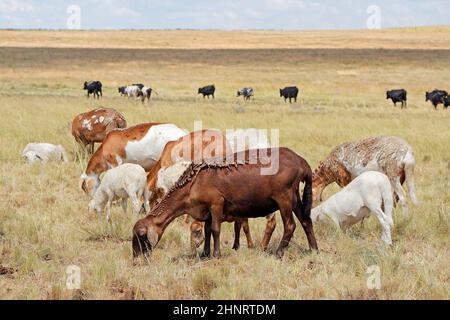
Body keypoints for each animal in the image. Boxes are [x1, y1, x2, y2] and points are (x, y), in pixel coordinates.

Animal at [132, 149, 318, 258]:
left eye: (141, 235)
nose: (136, 257)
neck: (193, 183)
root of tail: (301, 162)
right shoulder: (206, 210)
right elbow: (207, 230)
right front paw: (205, 253)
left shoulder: (216, 204)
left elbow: (215, 230)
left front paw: (216, 254)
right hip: (295, 198)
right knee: (306, 221)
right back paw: (314, 250)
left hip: (284, 198)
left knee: (290, 225)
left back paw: (279, 253)